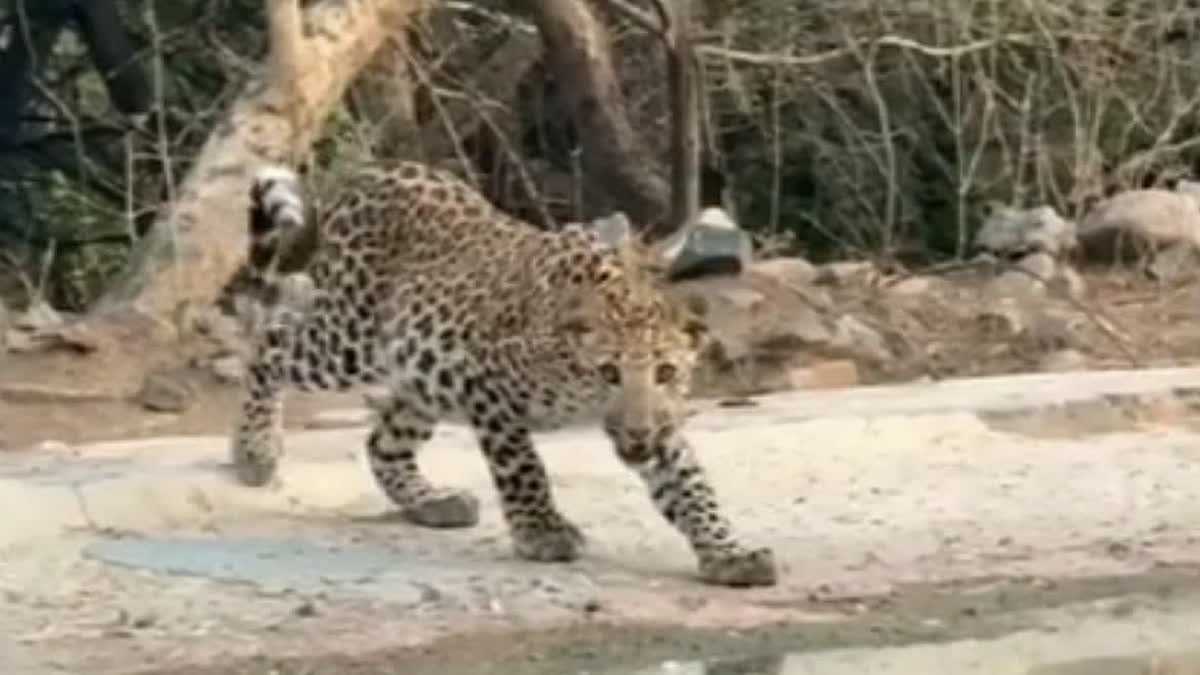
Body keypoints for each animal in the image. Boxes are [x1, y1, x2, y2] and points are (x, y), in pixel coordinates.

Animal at [217, 160, 778, 587]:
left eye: (665, 371)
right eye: (608, 372)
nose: (639, 434)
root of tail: (370, 175)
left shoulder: (661, 425)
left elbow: (692, 489)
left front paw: (729, 554)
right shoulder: (486, 388)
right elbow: (525, 468)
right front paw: (543, 533)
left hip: (419, 376)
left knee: (383, 444)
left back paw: (433, 502)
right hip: (348, 340)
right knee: (271, 340)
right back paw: (254, 449)